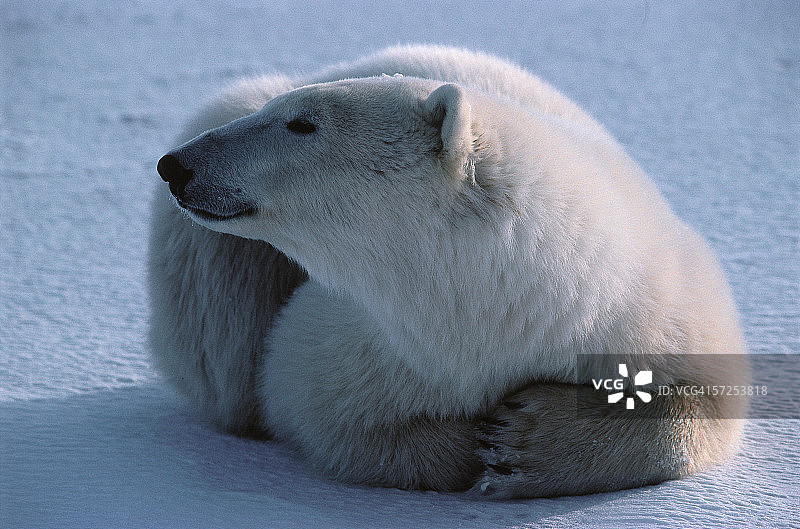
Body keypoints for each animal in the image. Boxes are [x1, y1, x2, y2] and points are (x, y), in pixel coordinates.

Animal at [149, 45, 748, 498]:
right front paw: (484, 443)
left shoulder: (650, 307)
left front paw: (525, 442)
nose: (175, 165)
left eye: (302, 123)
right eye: (289, 113)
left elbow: (706, 401)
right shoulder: (375, 344)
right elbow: (313, 403)